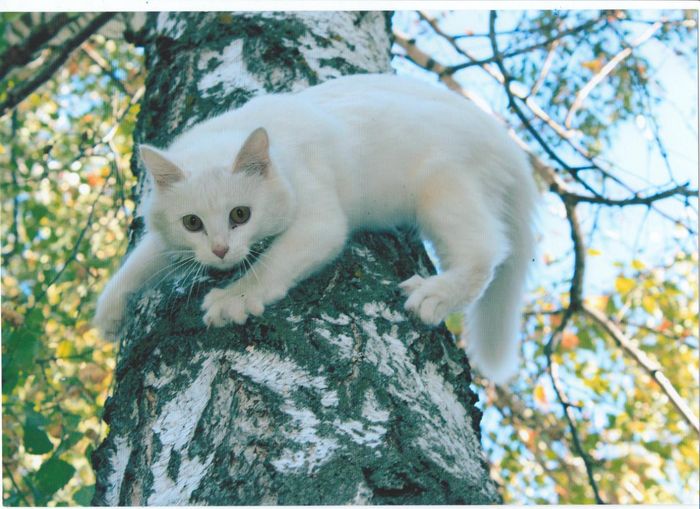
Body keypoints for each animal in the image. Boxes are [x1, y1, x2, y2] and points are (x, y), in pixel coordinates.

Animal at [94, 73, 536, 382]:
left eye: (240, 215)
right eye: (192, 223)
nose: (220, 250)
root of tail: (510, 146)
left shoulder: (321, 223)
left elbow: (269, 266)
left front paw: (234, 298)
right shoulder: (167, 241)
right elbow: (139, 262)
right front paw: (110, 314)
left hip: (442, 190)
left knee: (487, 253)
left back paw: (434, 295)